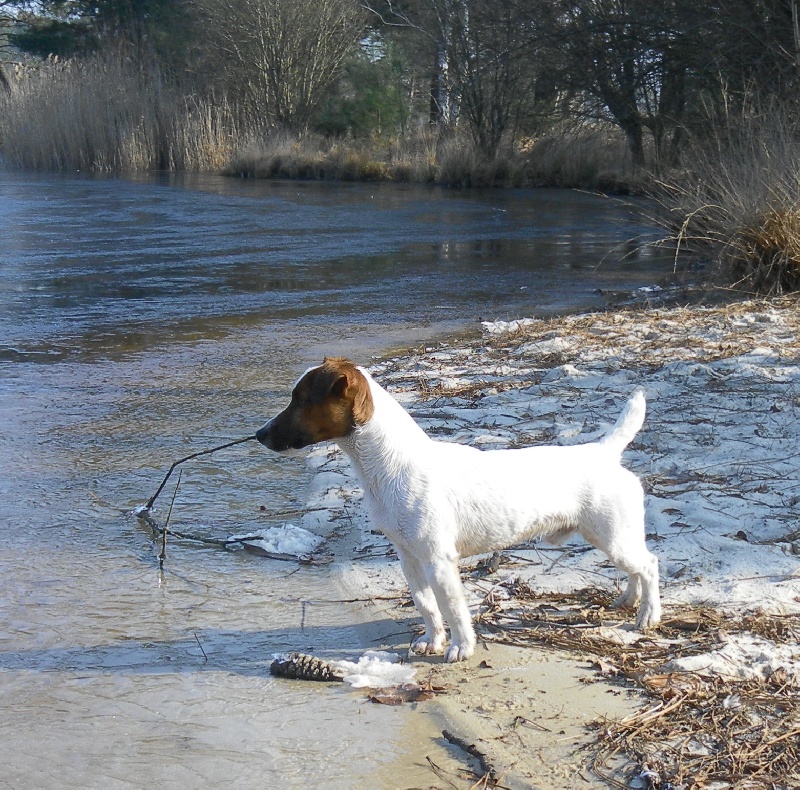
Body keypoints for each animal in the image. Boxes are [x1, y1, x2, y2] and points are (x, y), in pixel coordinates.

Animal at [258, 358, 664, 664]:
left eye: (299, 399)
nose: (259, 435)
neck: (390, 465)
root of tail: (604, 452)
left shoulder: (439, 561)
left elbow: (452, 608)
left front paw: (460, 647)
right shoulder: (408, 557)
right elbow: (426, 604)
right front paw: (432, 640)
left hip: (613, 536)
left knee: (649, 565)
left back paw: (648, 616)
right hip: (614, 537)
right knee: (636, 570)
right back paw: (629, 601)